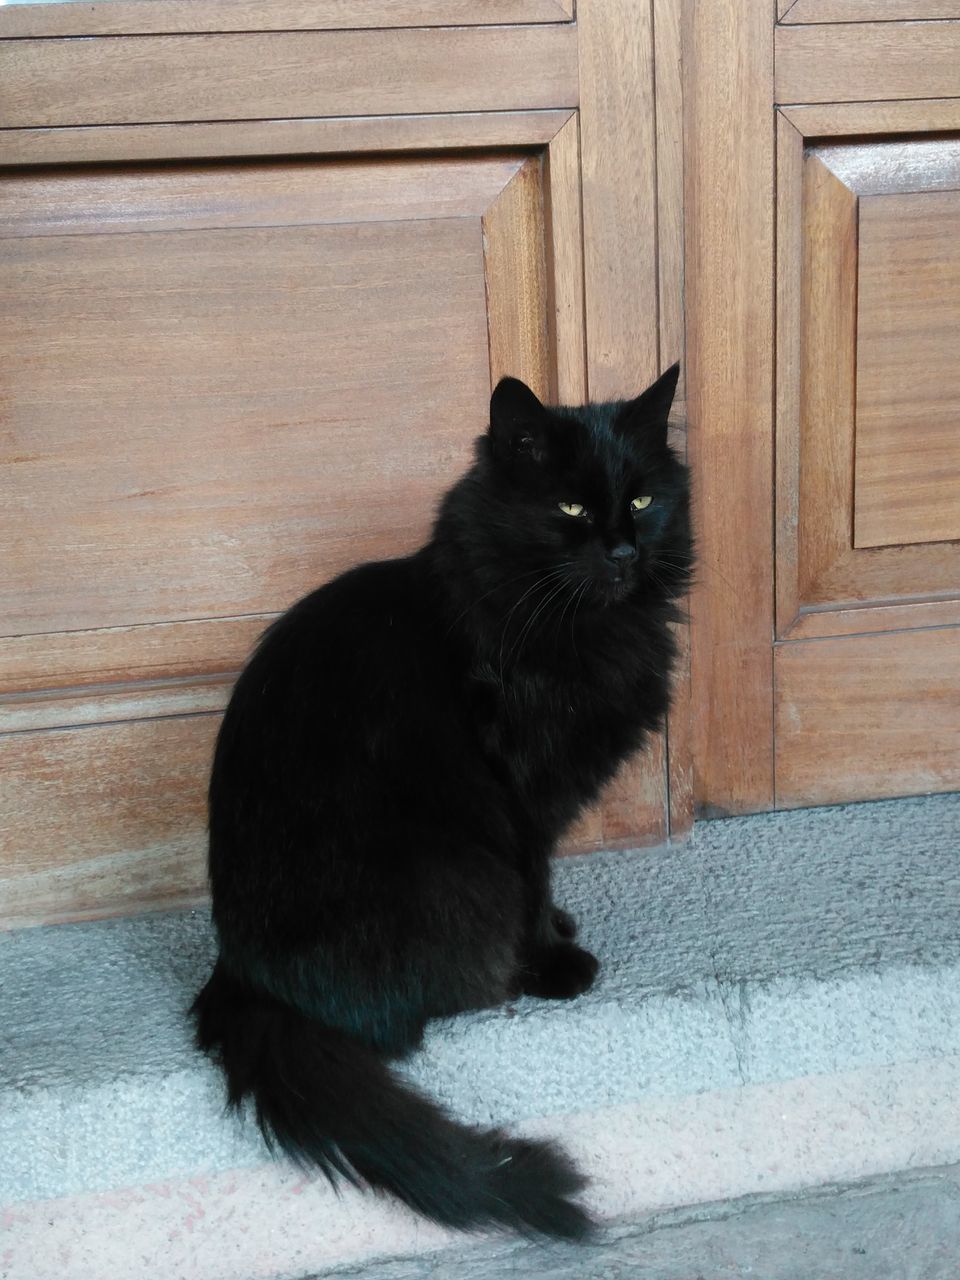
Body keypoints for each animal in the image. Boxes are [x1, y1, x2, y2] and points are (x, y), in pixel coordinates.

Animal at [193, 360, 691, 1239]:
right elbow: (534, 883)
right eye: (568, 508)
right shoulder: (520, 800)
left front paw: (559, 932)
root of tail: (248, 982)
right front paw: (555, 960)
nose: (624, 550)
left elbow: (545, 884)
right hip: (456, 874)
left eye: (639, 501)